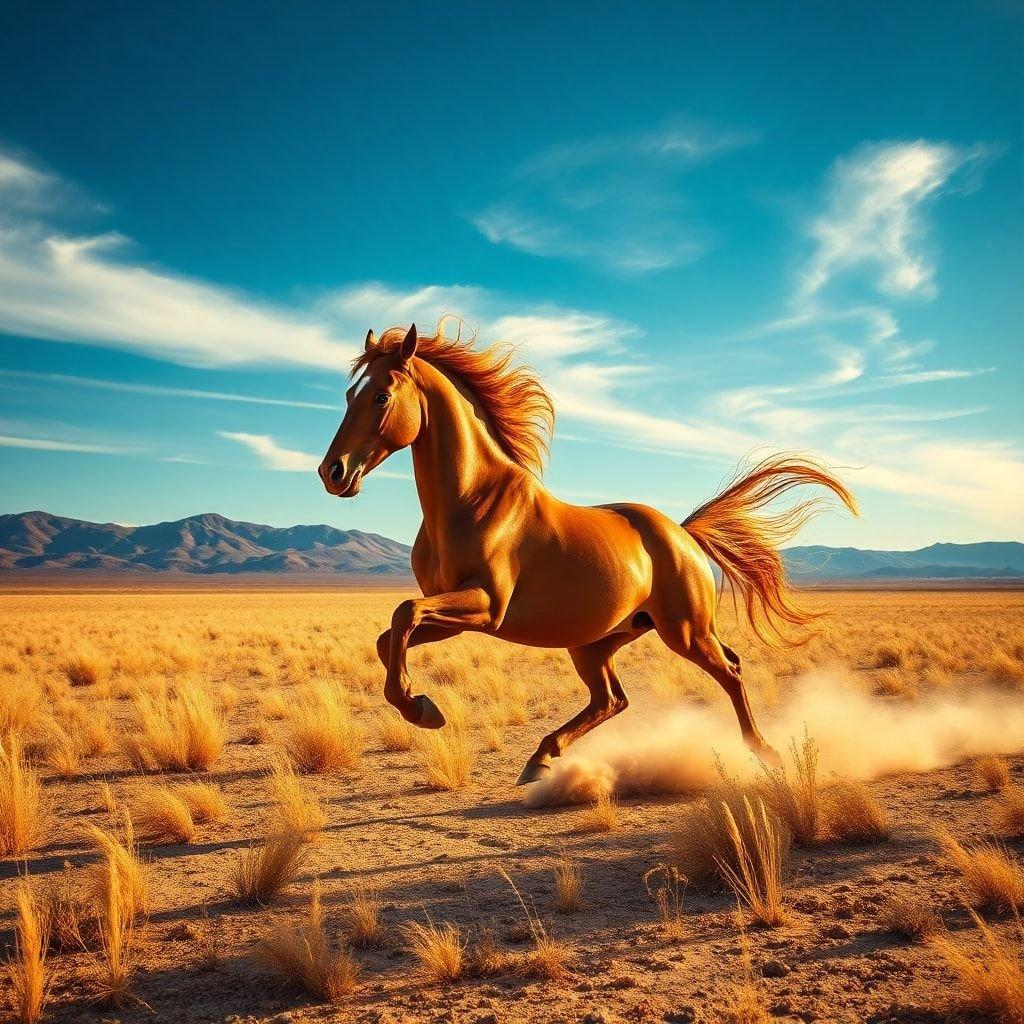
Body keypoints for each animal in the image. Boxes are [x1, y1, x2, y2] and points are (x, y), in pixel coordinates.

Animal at [317, 323, 856, 778]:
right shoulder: (456, 614)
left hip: (685, 632)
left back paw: (764, 750)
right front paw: (421, 705)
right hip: (599, 640)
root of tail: (682, 534)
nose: (332, 472)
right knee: (612, 700)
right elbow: (390, 636)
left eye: (382, 396)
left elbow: (403, 613)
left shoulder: (486, 606)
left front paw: (423, 709)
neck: (473, 500)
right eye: (346, 394)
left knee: (730, 673)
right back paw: (540, 758)